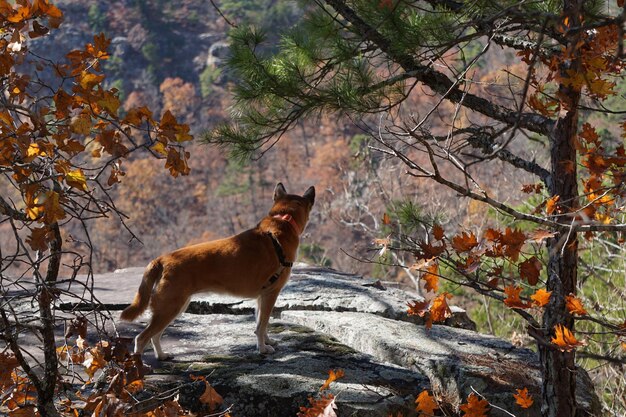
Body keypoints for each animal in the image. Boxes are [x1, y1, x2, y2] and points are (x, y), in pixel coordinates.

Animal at [121, 182, 314, 358]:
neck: (283, 220)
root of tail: (162, 259)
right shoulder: (270, 293)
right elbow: (261, 325)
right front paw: (263, 349)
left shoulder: (261, 297)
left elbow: (261, 323)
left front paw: (267, 341)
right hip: (169, 307)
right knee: (142, 338)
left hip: (174, 307)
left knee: (155, 335)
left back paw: (162, 356)